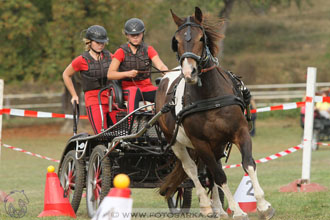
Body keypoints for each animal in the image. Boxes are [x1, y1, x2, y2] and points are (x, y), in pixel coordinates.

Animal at [156, 6, 274, 220]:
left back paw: (218, 208)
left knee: (209, 172)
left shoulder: (240, 132)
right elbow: (219, 175)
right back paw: (206, 205)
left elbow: (248, 164)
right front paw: (238, 211)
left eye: (201, 38)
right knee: (192, 169)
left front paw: (263, 205)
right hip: (177, 142)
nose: (190, 73)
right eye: (176, 41)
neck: (210, 97)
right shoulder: (200, 142)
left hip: (217, 144)